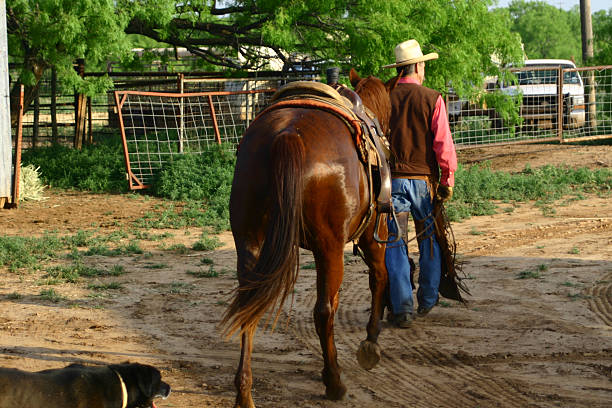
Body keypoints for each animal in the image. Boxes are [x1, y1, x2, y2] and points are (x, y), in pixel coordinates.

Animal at [224, 68, 392, 406]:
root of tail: (287, 135)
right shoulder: (372, 234)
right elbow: (378, 278)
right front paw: (370, 343)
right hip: (330, 247)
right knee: (323, 311)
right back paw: (335, 383)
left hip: (249, 242)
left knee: (249, 306)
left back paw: (244, 393)